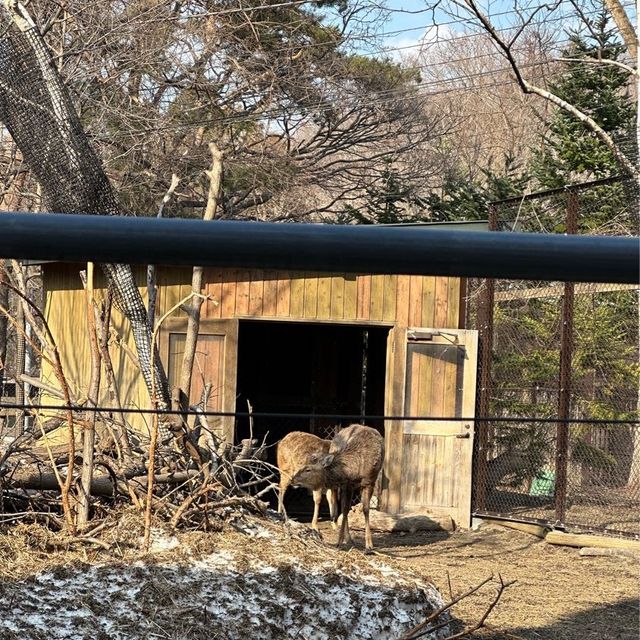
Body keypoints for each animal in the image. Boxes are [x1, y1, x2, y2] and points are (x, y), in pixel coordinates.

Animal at [292, 422, 384, 552]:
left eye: (308, 469)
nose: (292, 479)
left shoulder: (369, 481)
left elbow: (366, 509)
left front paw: (369, 545)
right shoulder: (347, 484)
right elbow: (345, 510)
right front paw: (339, 542)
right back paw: (347, 538)